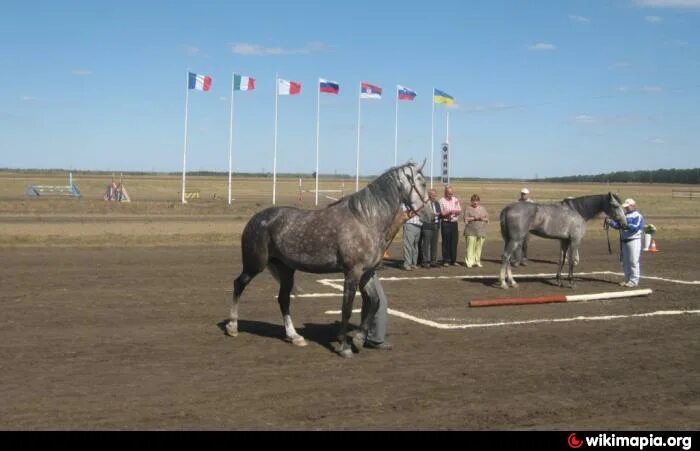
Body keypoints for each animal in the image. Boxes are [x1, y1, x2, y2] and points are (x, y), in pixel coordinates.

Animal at [226, 161, 432, 358]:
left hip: (286, 269)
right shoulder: (352, 273)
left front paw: (358, 340)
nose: (430, 214)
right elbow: (346, 309)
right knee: (238, 284)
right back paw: (232, 327)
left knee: (283, 299)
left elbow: (374, 302)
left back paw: (294, 336)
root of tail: (255, 219)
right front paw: (344, 346)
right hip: (254, 265)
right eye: (422, 182)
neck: (364, 219)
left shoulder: (366, 273)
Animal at [498, 192, 628, 288]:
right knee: (506, 256)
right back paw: (504, 283)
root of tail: (507, 208)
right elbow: (571, 260)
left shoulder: (564, 241)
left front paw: (559, 280)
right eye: (615, 206)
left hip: (508, 240)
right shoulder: (574, 240)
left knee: (507, 258)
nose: (624, 224)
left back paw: (512, 282)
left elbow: (562, 259)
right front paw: (571, 282)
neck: (578, 211)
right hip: (515, 240)